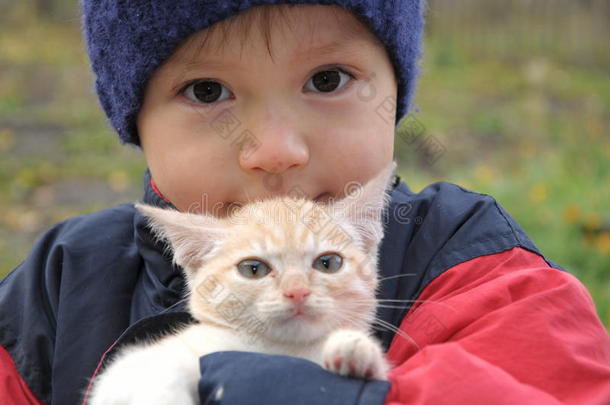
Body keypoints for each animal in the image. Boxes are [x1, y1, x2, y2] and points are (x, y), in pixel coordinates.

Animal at [88, 161, 396, 404]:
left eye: (328, 263)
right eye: (253, 269)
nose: (297, 292)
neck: (279, 352)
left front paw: (355, 351)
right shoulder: (128, 368)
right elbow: (155, 369)